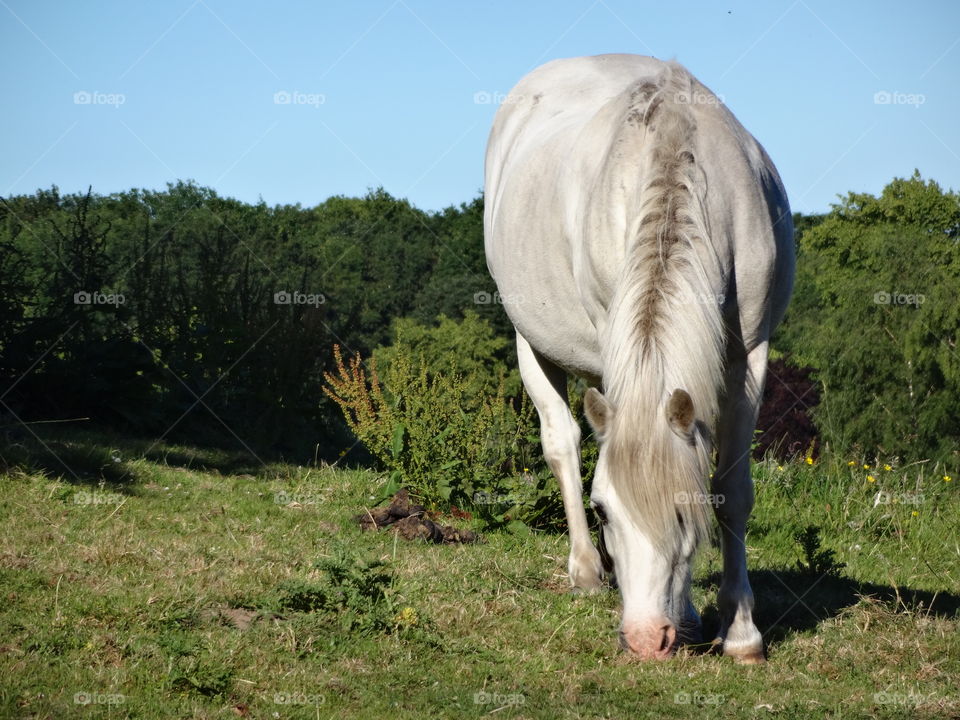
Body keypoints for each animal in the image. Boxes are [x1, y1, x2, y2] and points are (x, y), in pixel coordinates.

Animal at [484, 54, 792, 664]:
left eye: (685, 511)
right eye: (604, 510)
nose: (647, 639)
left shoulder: (750, 353)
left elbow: (734, 490)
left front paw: (740, 630)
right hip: (529, 339)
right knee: (562, 441)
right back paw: (585, 570)